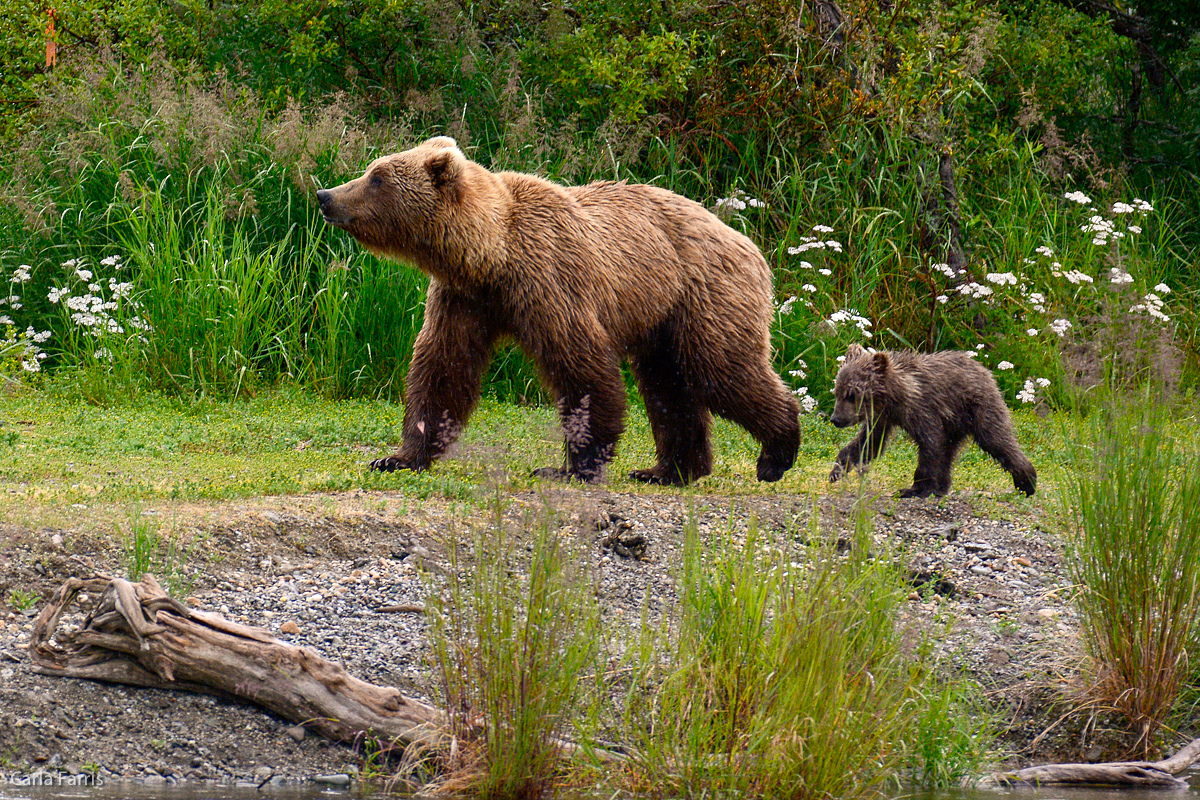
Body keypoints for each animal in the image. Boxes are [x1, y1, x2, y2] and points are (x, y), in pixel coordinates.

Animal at [319, 137, 796, 484]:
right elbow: (443, 368)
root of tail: (749, 243)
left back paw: (776, 453)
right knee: (669, 385)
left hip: (702, 295)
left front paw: (571, 465)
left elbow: (581, 368)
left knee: (722, 370)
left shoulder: (551, 280)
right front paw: (399, 456)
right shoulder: (465, 299)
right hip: (662, 318)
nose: (326, 194)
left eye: (377, 177)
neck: (491, 255)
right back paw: (668, 470)